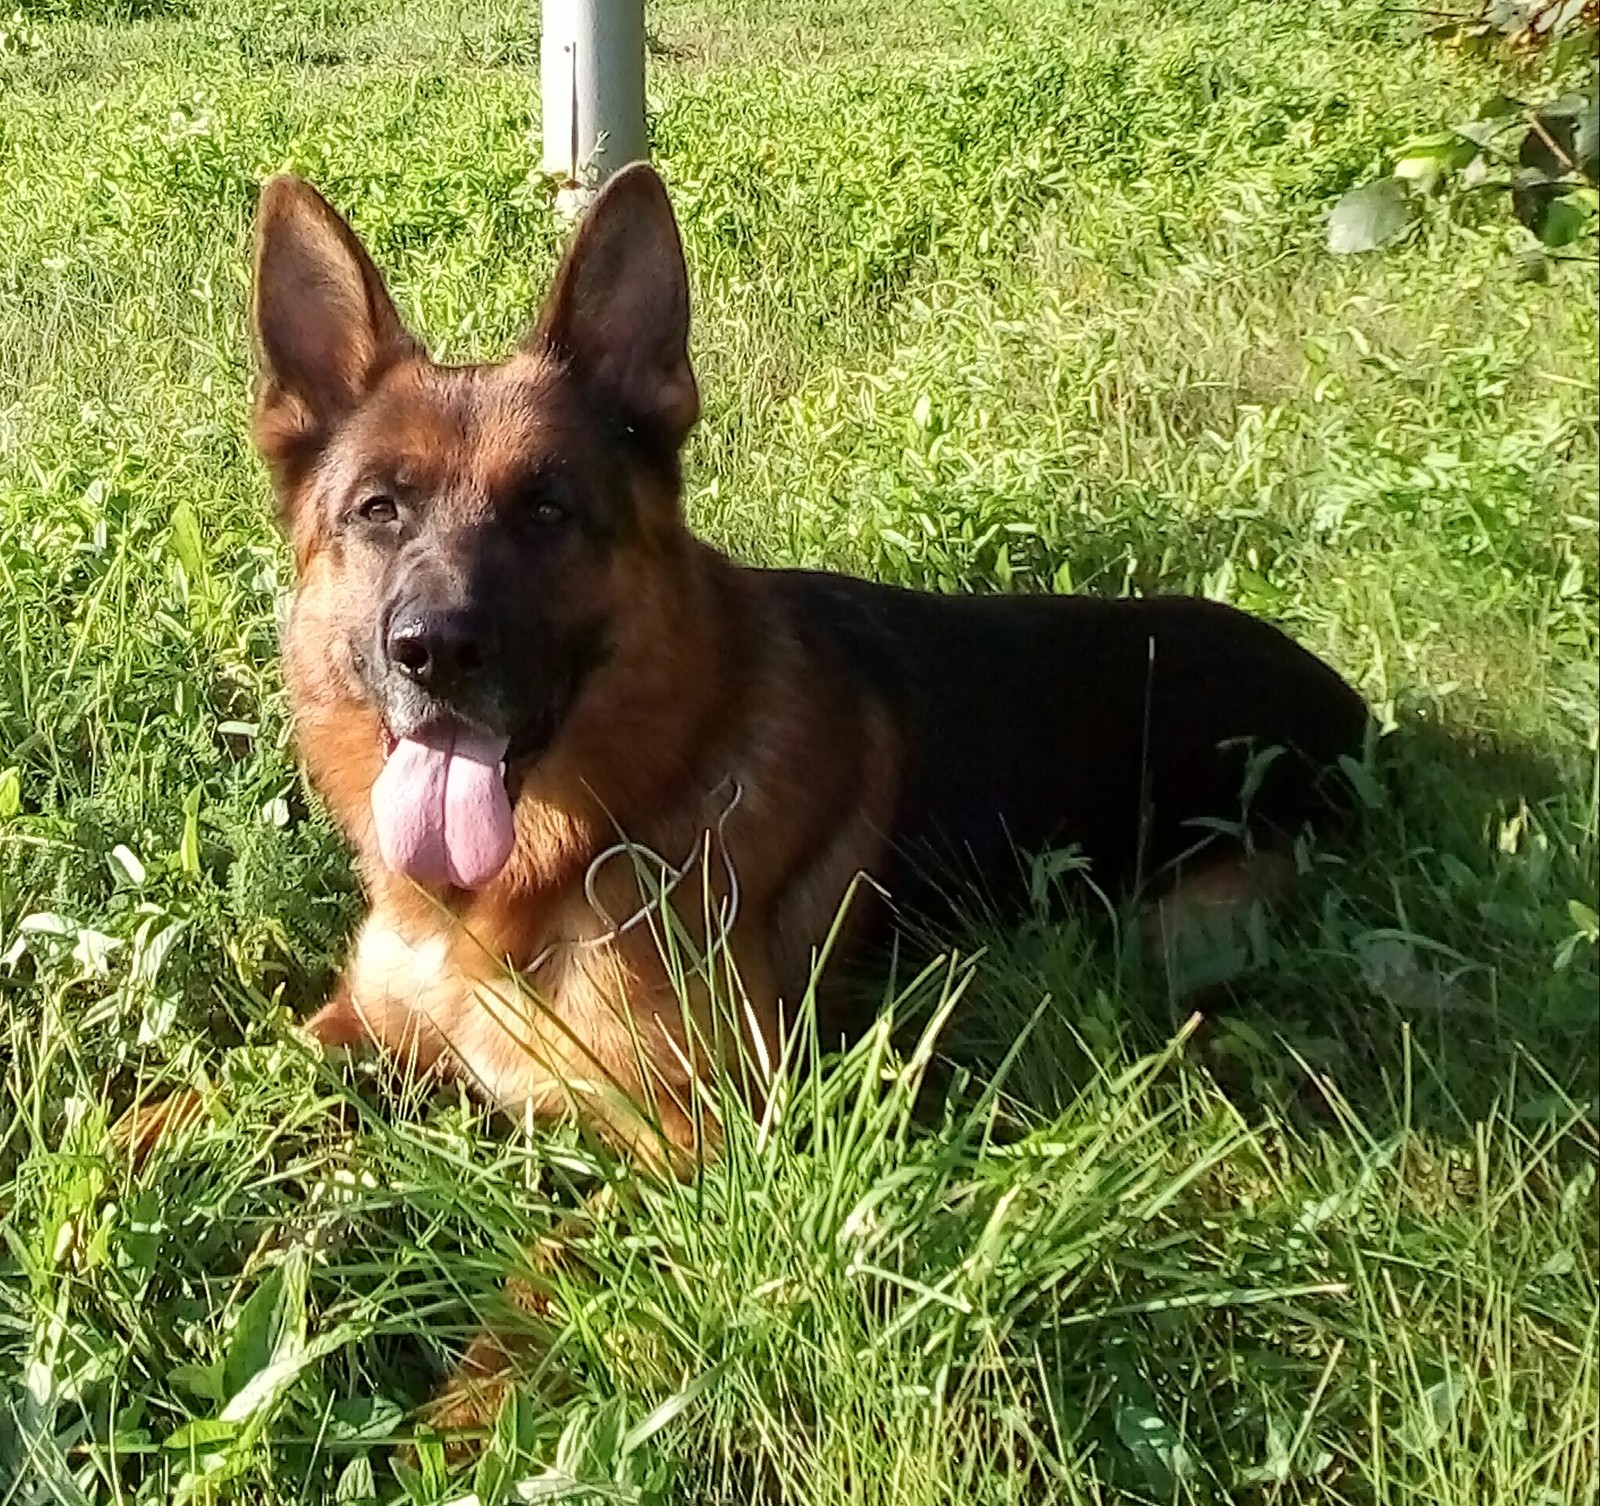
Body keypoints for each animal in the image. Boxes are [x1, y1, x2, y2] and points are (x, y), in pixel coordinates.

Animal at [243, 158, 1369, 1414]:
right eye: (378, 510)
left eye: (546, 509)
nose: (434, 651)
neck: (556, 863)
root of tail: (1347, 699)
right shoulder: (346, 1030)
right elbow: (198, 1096)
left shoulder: (700, 1133)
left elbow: (545, 1270)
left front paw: (462, 1416)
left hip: (1181, 935)